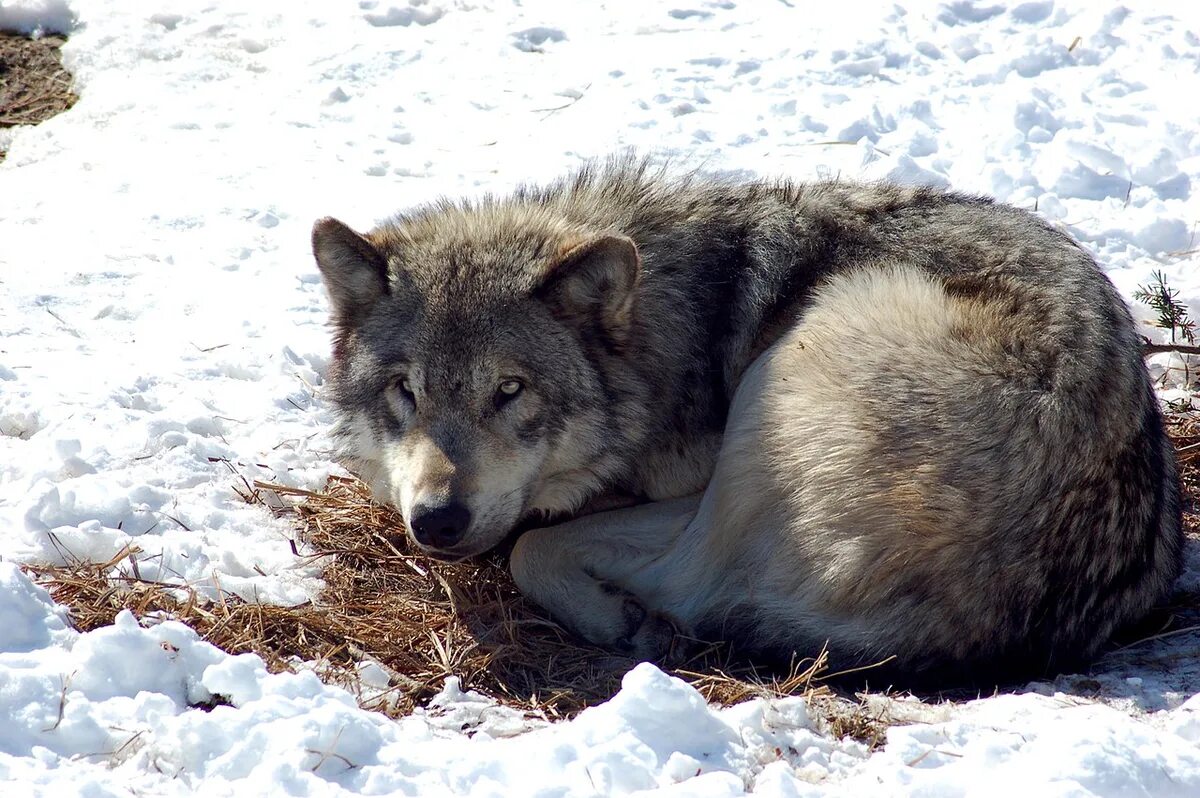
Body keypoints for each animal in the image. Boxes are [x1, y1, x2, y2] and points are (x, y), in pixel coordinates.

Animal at [309, 158, 1180, 681]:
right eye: (406, 391)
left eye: (510, 390)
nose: (438, 521)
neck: (671, 334)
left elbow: (535, 546)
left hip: (794, 364)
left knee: (685, 582)